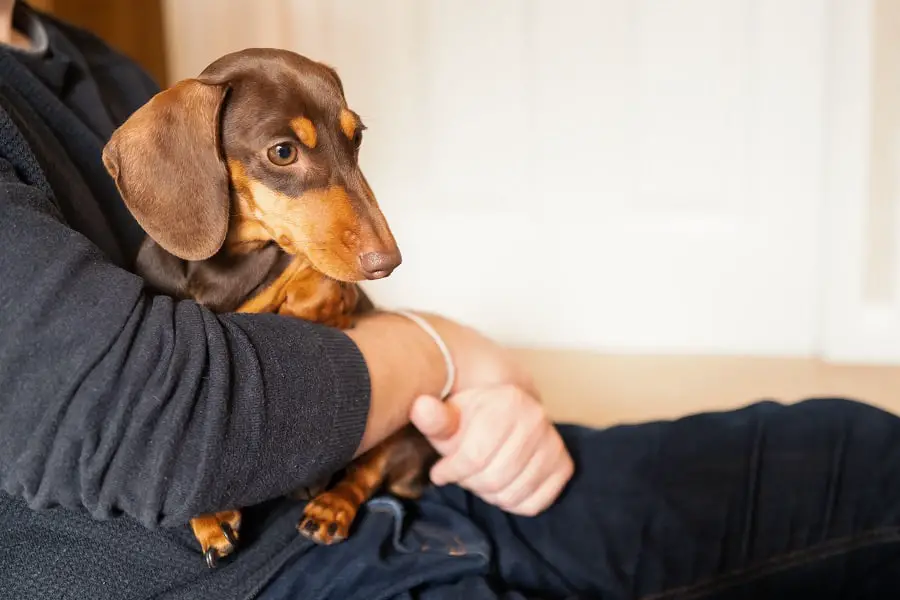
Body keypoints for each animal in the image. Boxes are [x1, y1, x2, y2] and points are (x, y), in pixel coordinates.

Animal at [103, 48, 440, 568]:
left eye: (356, 137)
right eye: (283, 152)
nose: (388, 261)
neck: (226, 267)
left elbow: (308, 277)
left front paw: (307, 302)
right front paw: (210, 515)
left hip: (403, 429)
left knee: (368, 471)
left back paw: (330, 504)